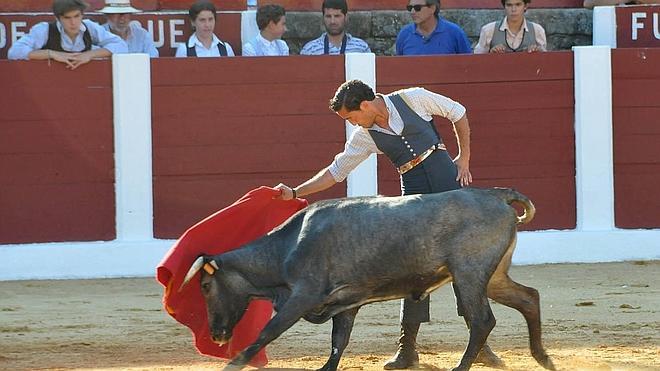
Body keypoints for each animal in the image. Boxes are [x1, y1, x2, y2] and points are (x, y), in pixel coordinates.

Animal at [180, 189, 556, 371]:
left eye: (205, 286)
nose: (216, 335)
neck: (288, 246)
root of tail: (495, 194)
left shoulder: (301, 297)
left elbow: (264, 334)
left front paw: (232, 364)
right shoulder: (345, 303)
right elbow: (338, 342)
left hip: (469, 273)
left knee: (481, 320)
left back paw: (462, 367)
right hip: (492, 277)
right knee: (529, 297)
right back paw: (543, 358)